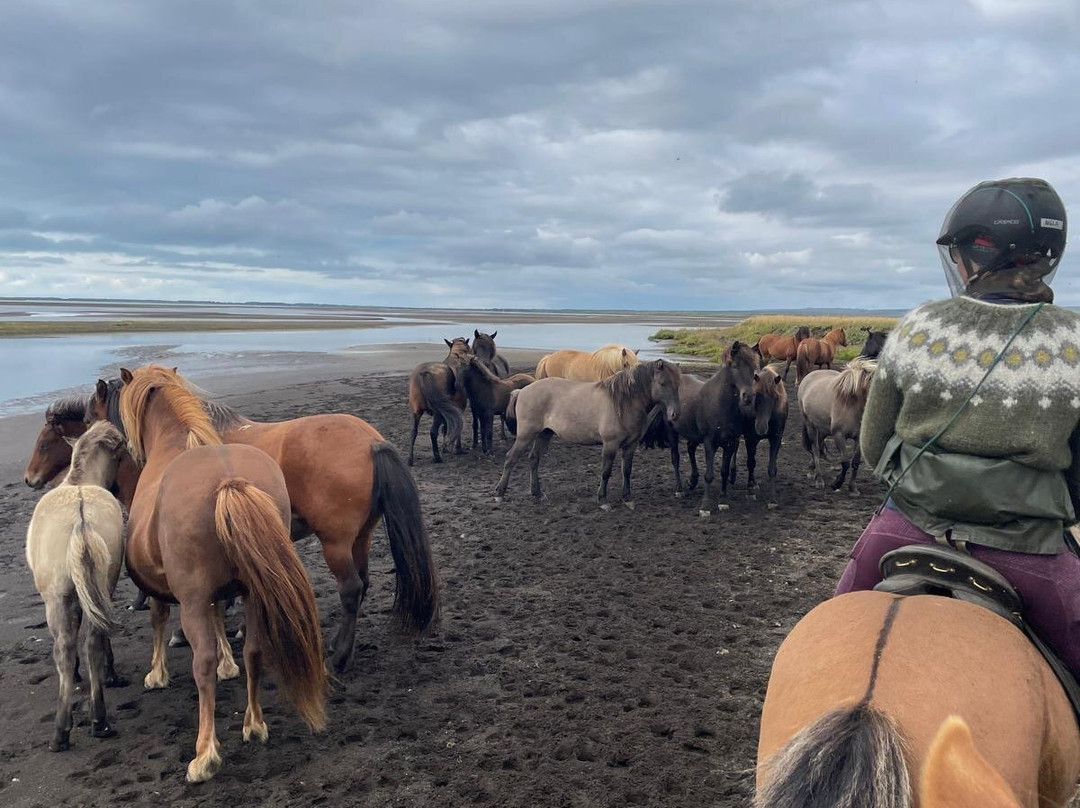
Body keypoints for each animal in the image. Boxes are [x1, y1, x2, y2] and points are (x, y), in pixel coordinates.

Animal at [25, 422, 127, 753]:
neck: (78, 482)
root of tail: (81, 513)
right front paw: (109, 674)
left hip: (56, 598)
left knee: (66, 648)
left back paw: (61, 730)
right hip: (100, 586)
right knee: (94, 639)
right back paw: (100, 719)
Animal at [89, 374, 438, 673]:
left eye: (92, 415)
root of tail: (371, 441)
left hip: (335, 543)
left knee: (351, 588)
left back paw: (338, 657)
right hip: (360, 538)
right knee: (363, 583)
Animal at [495, 359, 682, 510]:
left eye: (678, 384)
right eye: (663, 383)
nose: (675, 415)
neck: (623, 403)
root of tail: (522, 391)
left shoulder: (631, 445)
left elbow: (627, 471)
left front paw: (627, 499)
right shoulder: (610, 444)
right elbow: (606, 471)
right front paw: (603, 500)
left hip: (544, 434)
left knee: (534, 459)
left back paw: (537, 493)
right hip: (526, 435)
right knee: (511, 458)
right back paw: (499, 494)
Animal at [727, 364, 788, 508]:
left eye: (775, 397)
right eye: (756, 395)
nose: (761, 427)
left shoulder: (776, 438)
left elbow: (772, 467)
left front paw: (772, 498)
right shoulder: (750, 438)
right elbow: (751, 463)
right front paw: (750, 489)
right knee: (734, 448)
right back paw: (733, 475)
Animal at [798, 357, 876, 494]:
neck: (852, 404)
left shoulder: (858, 438)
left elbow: (855, 462)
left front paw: (853, 488)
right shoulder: (839, 435)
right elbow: (845, 462)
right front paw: (837, 483)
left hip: (823, 430)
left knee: (818, 447)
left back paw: (811, 470)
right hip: (811, 426)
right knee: (815, 449)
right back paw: (819, 479)